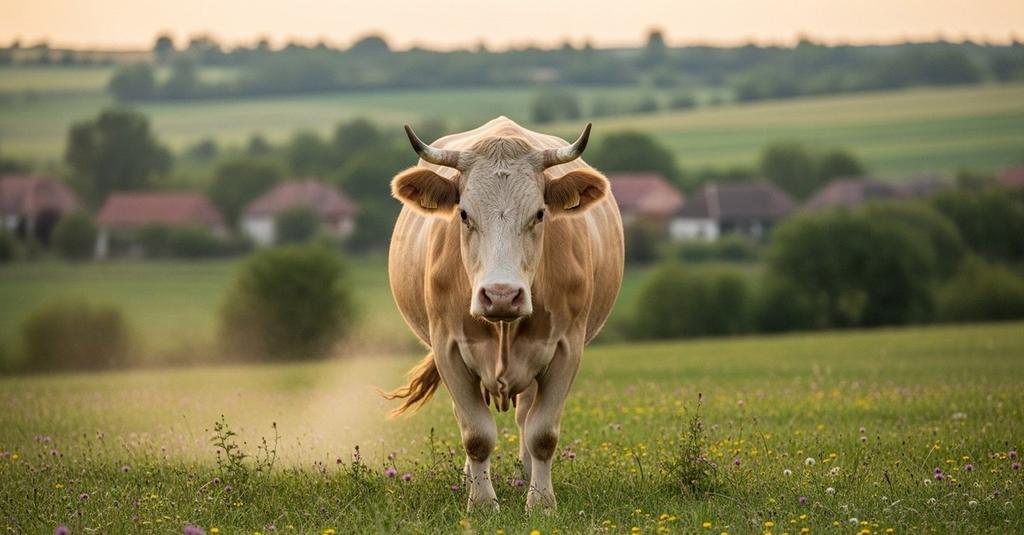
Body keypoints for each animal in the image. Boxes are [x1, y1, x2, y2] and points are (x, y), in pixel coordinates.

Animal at [383, 116, 624, 510]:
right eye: (464, 214)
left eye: (539, 214)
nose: (501, 296)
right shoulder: (448, 349)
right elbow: (476, 435)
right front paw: (481, 503)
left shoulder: (566, 348)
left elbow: (542, 434)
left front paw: (540, 502)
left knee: (527, 417)